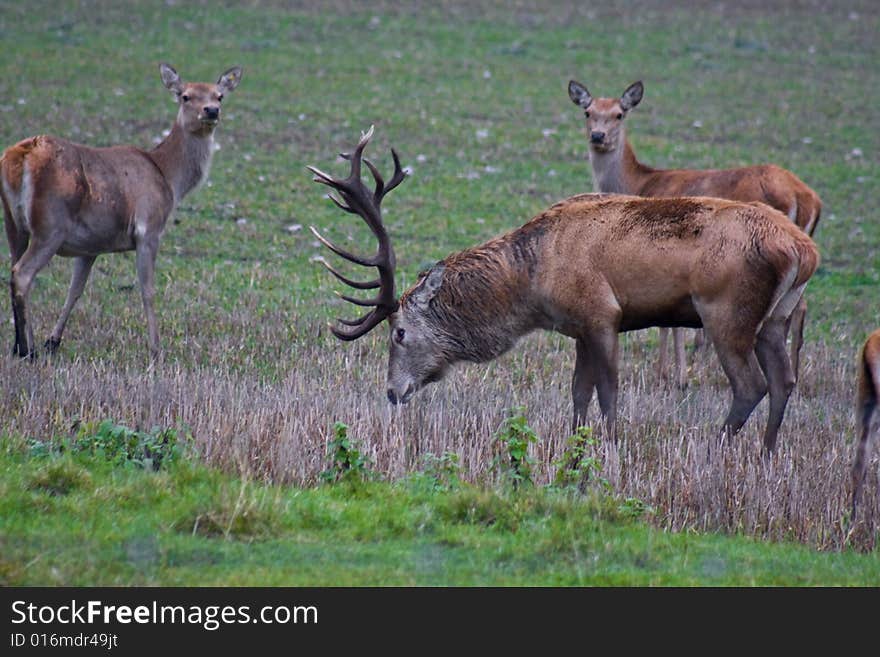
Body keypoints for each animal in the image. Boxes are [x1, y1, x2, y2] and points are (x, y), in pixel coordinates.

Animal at [0, 61, 241, 358]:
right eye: (185, 96)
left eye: (220, 95)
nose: (211, 110)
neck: (167, 177)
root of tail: (20, 156)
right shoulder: (149, 228)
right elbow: (148, 290)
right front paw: (156, 349)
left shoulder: (90, 245)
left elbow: (75, 290)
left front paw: (53, 341)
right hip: (50, 225)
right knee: (23, 274)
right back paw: (26, 349)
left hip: (13, 222)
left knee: (14, 271)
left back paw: (21, 345)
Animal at [568, 80, 820, 390]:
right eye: (588, 112)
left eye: (619, 114)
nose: (598, 135)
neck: (640, 183)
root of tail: (806, 197)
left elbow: (668, 324)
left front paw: (671, 375)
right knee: (800, 307)